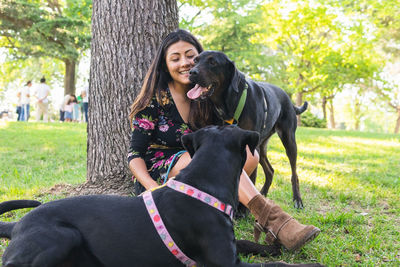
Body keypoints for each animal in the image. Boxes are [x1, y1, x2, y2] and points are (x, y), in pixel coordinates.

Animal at [0, 126, 320, 266]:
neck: (203, 183)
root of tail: (17, 224)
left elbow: (248, 244)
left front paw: (272, 247)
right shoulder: (224, 263)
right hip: (62, 236)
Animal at [189, 50, 308, 209]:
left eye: (212, 62)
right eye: (195, 61)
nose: (191, 72)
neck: (231, 101)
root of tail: (289, 99)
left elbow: (250, 178)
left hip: (288, 140)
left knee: (294, 173)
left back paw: (297, 200)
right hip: (261, 146)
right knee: (270, 170)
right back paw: (263, 194)